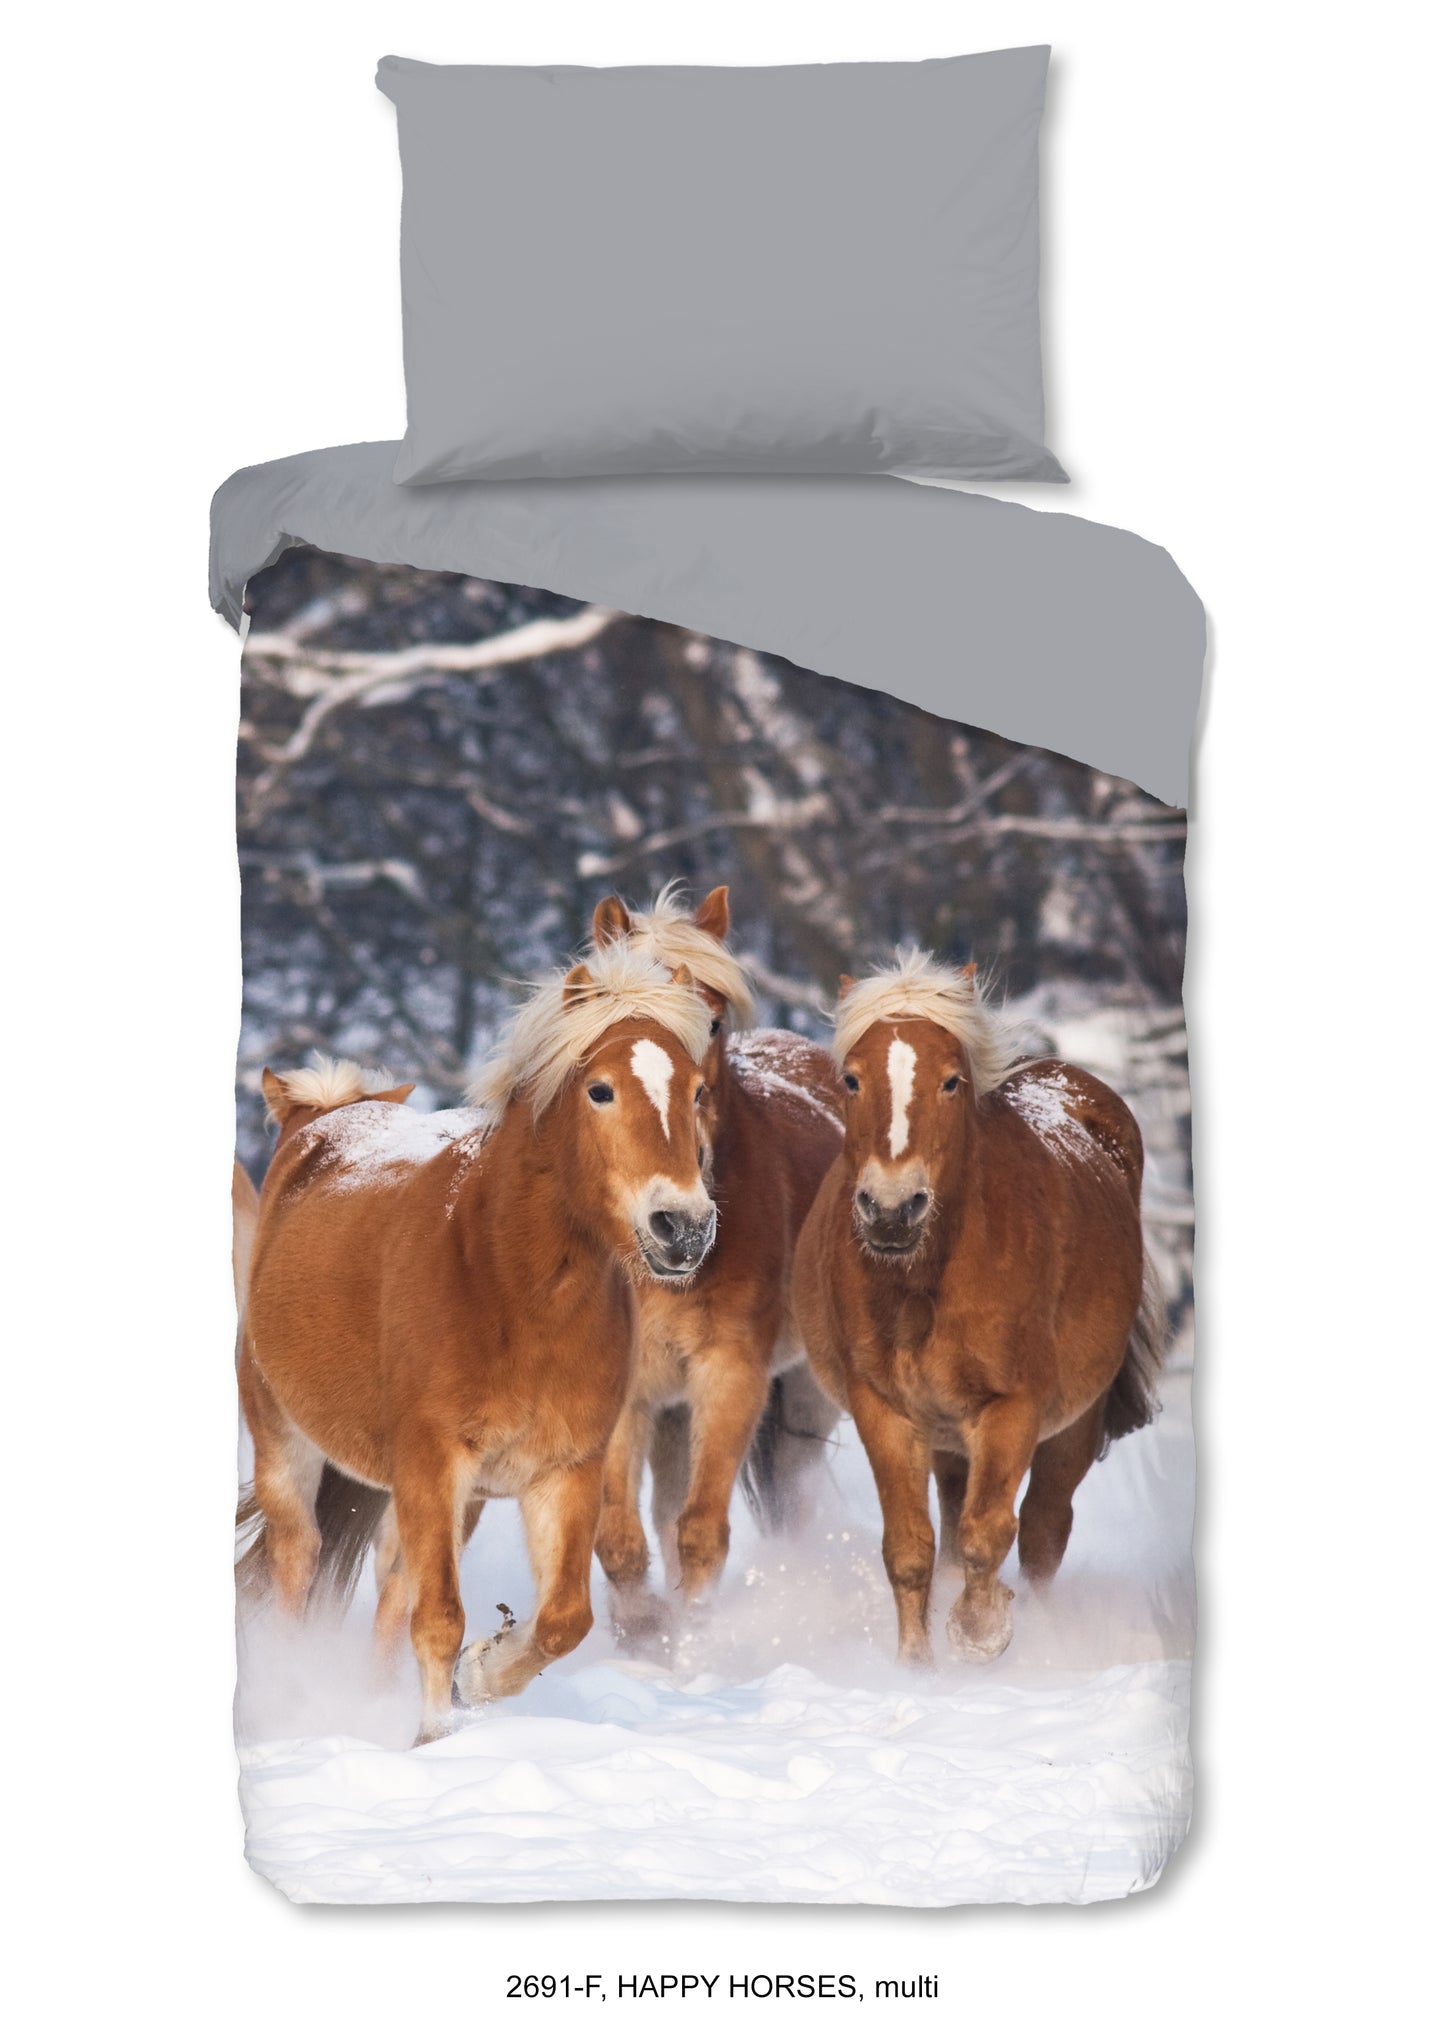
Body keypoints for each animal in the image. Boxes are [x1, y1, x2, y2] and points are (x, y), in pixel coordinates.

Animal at [237, 946, 715, 1742]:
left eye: (699, 1090)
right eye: (600, 1090)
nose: (683, 1226)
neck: (505, 1286)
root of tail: (323, 1119)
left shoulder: (562, 1471)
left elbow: (561, 1621)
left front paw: (480, 1676)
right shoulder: (434, 1464)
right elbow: (438, 1617)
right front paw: (437, 1733)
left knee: (391, 1586)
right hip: (286, 1444)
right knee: (297, 1562)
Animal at [586, 885, 844, 1632]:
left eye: (715, 1021)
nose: (683, 1222)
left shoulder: (730, 1376)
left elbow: (700, 1532)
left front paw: (694, 1637)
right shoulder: (631, 1393)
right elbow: (620, 1538)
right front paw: (644, 1632)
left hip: (806, 1397)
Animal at [792, 949, 1165, 1667]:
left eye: (950, 1082)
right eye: (851, 1079)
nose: (891, 1209)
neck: (926, 1284)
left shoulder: (1012, 1408)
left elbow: (988, 1533)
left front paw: (980, 1632)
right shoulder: (885, 1410)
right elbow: (910, 1548)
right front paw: (916, 1667)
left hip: (1073, 1425)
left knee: (1044, 1530)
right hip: (948, 1439)